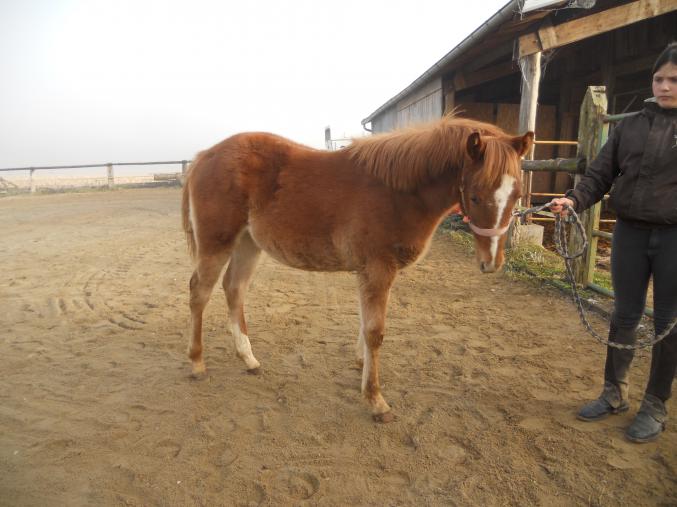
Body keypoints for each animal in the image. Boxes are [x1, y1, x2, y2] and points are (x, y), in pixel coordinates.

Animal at [181, 116, 533, 422]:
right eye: (474, 196)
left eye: (517, 194)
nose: (491, 263)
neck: (397, 192)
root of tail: (203, 156)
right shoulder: (377, 269)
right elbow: (375, 332)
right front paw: (376, 400)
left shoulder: (368, 272)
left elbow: (364, 325)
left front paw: (360, 365)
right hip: (217, 243)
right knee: (199, 291)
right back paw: (197, 363)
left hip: (248, 243)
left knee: (234, 288)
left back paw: (248, 358)